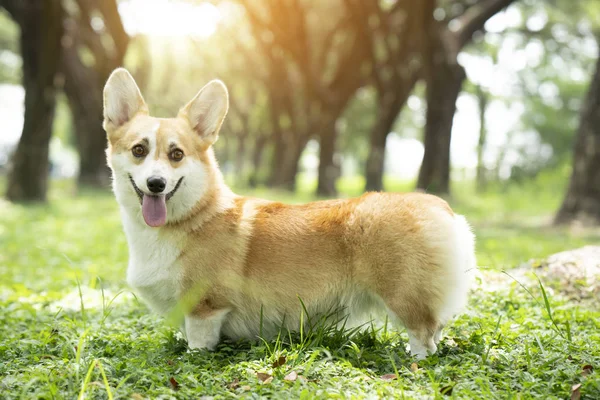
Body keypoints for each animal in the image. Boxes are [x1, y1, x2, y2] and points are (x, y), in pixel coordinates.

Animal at [104, 67, 478, 358]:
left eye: (177, 154)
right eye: (139, 150)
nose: (155, 184)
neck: (190, 216)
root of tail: (443, 209)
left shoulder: (205, 308)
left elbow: (197, 344)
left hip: (404, 297)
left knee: (424, 336)